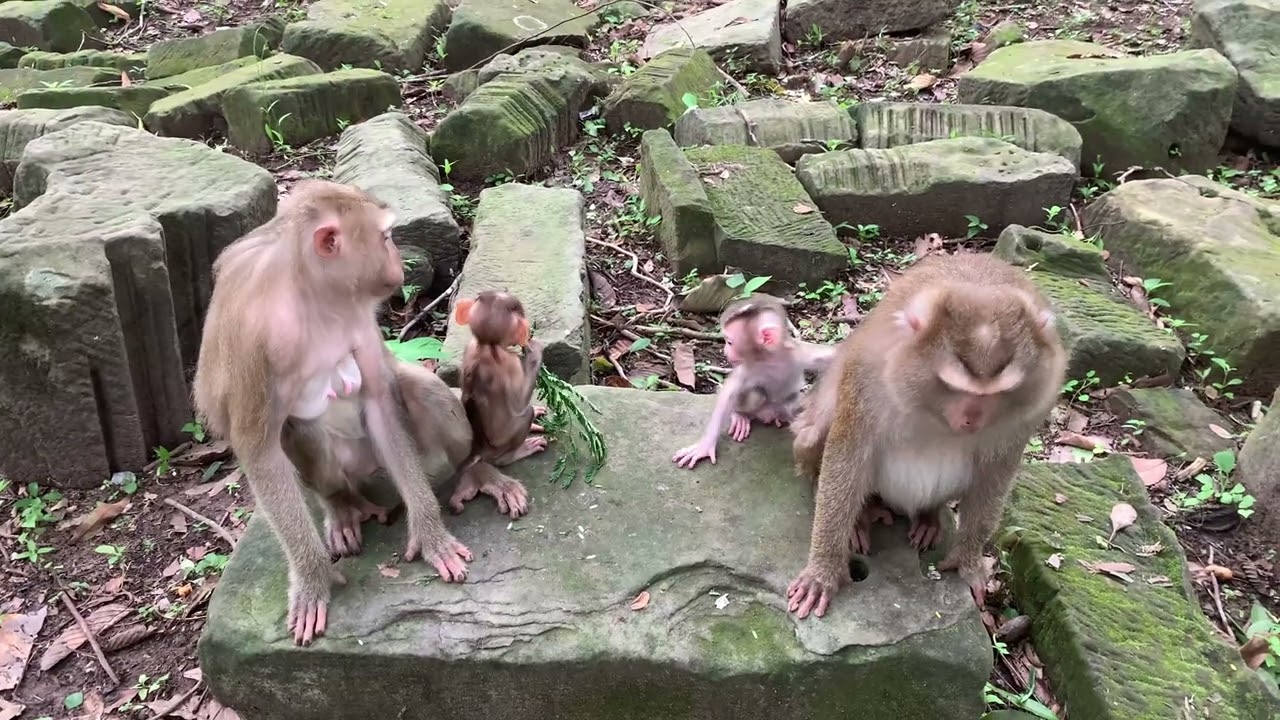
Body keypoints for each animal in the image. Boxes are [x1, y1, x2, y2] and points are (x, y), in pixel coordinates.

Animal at [193, 179, 481, 646]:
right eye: (385, 237)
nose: (398, 264)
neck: (309, 293)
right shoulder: (250, 338)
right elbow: (259, 451)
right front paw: (313, 579)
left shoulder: (356, 307)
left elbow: (381, 401)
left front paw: (429, 533)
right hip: (347, 466)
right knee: (299, 432)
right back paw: (341, 506)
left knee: (422, 392)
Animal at [449, 290, 548, 516]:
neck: (486, 345)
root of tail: (479, 450)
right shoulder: (509, 361)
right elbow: (519, 402)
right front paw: (535, 350)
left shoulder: (469, 347)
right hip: (499, 448)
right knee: (524, 414)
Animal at [673, 294, 836, 469]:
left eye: (729, 342)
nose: (725, 351)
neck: (770, 358)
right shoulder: (747, 367)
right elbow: (728, 394)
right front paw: (705, 445)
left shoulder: (800, 352)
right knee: (756, 394)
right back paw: (740, 415)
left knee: (793, 399)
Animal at [786, 252, 1066, 619]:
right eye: (953, 386)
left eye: (999, 392)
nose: (970, 420)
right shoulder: (867, 375)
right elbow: (848, 457)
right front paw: (823, 570)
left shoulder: (1034, 404)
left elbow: (995, 476)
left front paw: (968, 560)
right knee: (816, 435)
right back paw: (863, 516)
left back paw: (928, 516)